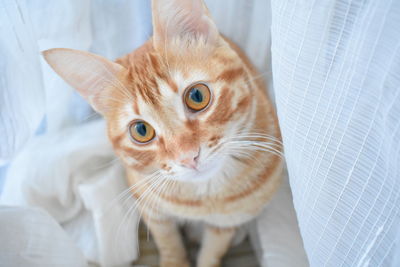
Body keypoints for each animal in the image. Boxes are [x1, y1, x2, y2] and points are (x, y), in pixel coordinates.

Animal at [43, 0, 282, 267]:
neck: (202, 198)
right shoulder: (151, 208)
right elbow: (168, 241)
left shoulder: (227, 222)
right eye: (141, 130)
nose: (188, 157)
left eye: (197, 96)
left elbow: (212, 253)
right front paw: (174, 259)